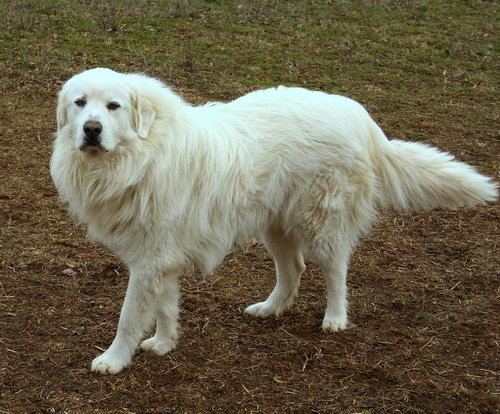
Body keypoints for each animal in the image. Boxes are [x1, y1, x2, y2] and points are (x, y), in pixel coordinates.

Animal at [50, 68, 496, 376]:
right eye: (80, 103)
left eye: (113, 107)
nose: (92, 129)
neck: (141, 154)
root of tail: (358, 115)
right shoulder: (159, 257)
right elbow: (164, 306)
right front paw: (164, 343)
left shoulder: (151, 259)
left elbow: (129, 317)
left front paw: (113, 360)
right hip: (275, 224)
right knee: (293, 268)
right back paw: (270, 308)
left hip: (321, 221)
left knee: (336, 270)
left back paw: (335, 319)